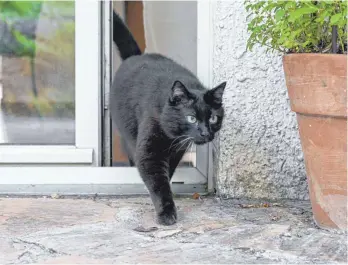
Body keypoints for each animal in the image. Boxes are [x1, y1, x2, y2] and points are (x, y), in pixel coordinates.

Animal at [110, 10, 227, 225]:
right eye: (191, 118)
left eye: (213, 119)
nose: (205, 133)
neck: (171, 136)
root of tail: (137, 56)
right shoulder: (150, 151)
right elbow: (158, 182)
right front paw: (166, 211)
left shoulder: (177, 150)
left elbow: (166, 175)